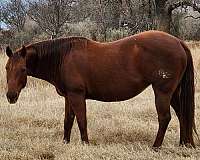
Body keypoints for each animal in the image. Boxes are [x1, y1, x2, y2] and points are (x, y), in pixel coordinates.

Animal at [5, 30, 197, 147]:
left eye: (23, 69)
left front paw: (85, 144)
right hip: (173, 93)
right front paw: (65, 143)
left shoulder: (77, 96)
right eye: (7, 68)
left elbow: (81, 121)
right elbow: (68, 121)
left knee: (165, 118)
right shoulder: (69, 97)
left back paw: (155, 147)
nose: (10, 96)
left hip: (162, 92)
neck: (63, 57)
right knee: (182, 115)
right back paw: (184, 144)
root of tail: (178, 42)